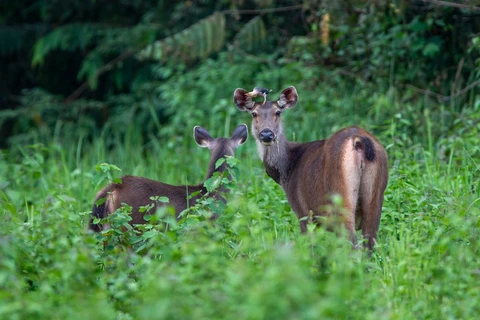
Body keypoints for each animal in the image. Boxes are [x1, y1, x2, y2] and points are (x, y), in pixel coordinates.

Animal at [232, 87, 386, 250]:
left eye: (278, 112)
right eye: (254, 113)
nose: (266, 134)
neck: (287, 170)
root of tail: (359, 140)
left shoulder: (304, 213)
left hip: (340, 197)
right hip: (375, 196)